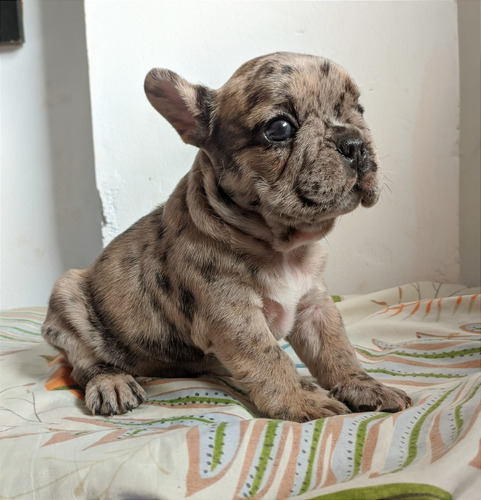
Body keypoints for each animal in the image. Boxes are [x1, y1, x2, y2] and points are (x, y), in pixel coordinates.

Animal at [42, 51, 408, 422]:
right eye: (279, 128)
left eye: (359, 111)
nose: (355, 143)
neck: (283, 246)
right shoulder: (231, 312)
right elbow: (269, 356)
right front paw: (300, 401)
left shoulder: (315, 306)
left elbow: (337, 349)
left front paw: (364, 386)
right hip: (67, 299)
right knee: (84, 363)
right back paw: (111, 382)